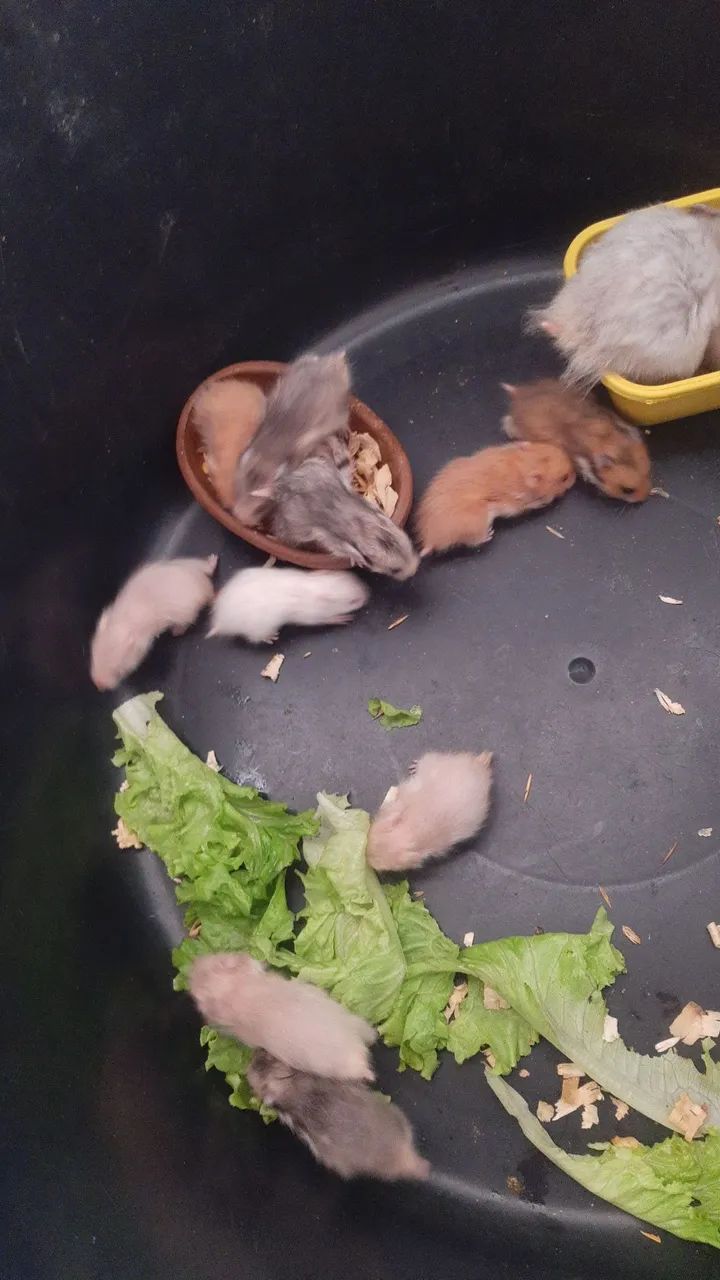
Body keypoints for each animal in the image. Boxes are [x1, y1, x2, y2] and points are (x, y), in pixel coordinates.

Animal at [90, 555, 217, 690]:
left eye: (119, 671)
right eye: (93, 658)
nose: (98, 685)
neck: (122, 622)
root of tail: (201, 580)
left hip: (186, 612)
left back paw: (176, 631)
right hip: (185, 563)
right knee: (206, 567)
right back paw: (212, 561)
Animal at [208, 567, 369, 643]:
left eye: (356, 578)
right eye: (353, 601)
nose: (368, 595)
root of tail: (221, 621)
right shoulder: (311, 616)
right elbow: (325, 620)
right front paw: (341, 618)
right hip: (258, 629)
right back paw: (270, 637)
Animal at [233, 352, 351, 527]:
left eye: (260, 508)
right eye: (236, 490)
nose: (238, 517)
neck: (268, 453)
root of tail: (334, 362)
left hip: (339, 413)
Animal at [272, 457, 419, 580]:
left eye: (410, 546)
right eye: (394, 570)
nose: (414, 571)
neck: (366, 524)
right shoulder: (328, 537)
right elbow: (344, 547)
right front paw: (359, 560)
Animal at [416, 442, 575, 555]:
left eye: (556, 448)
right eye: (564, 478)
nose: (575, 476)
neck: (520, 465)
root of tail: (430, 540)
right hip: (478, 522)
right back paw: (490, 534)